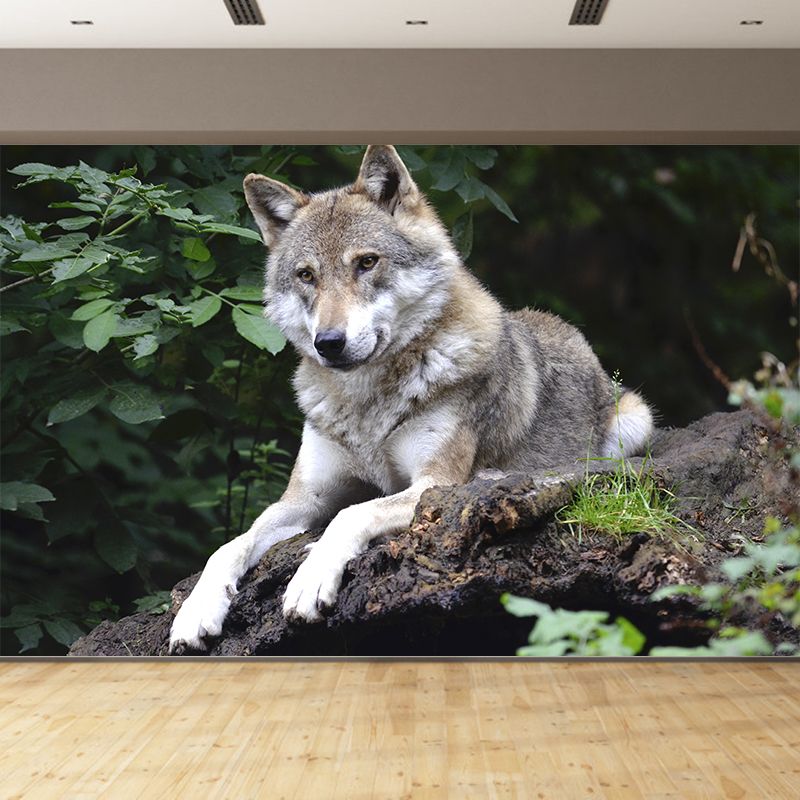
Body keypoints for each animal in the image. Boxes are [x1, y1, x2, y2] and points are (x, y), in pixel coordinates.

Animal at [168, 145, 653, 653]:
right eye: (306, 275)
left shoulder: (431, 484)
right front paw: (196, 611)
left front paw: (309, 579)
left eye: (366, 262)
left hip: (633, 422)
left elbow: (350, 515)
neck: (367, 404)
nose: (329, 343)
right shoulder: (305, 497)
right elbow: (231, 544)